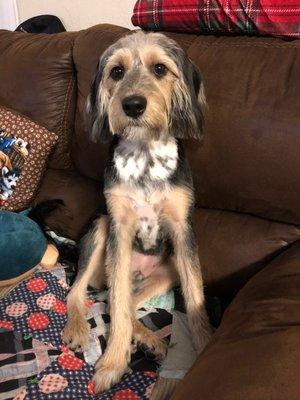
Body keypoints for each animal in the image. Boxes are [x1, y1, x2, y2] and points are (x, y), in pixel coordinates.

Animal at [61, 30, 211, 394]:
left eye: (160, 68)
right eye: (116, 72)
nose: (132, 105)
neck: (144, 156)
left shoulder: (183, 232)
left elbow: (195, 299)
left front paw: (205, 348)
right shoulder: (119, 227)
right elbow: (113, 306)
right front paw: (113, 363)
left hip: (166, 270)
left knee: (129, 305)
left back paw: (151, 341)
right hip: (100, 231)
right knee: (82, 293)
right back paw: (79, 328)